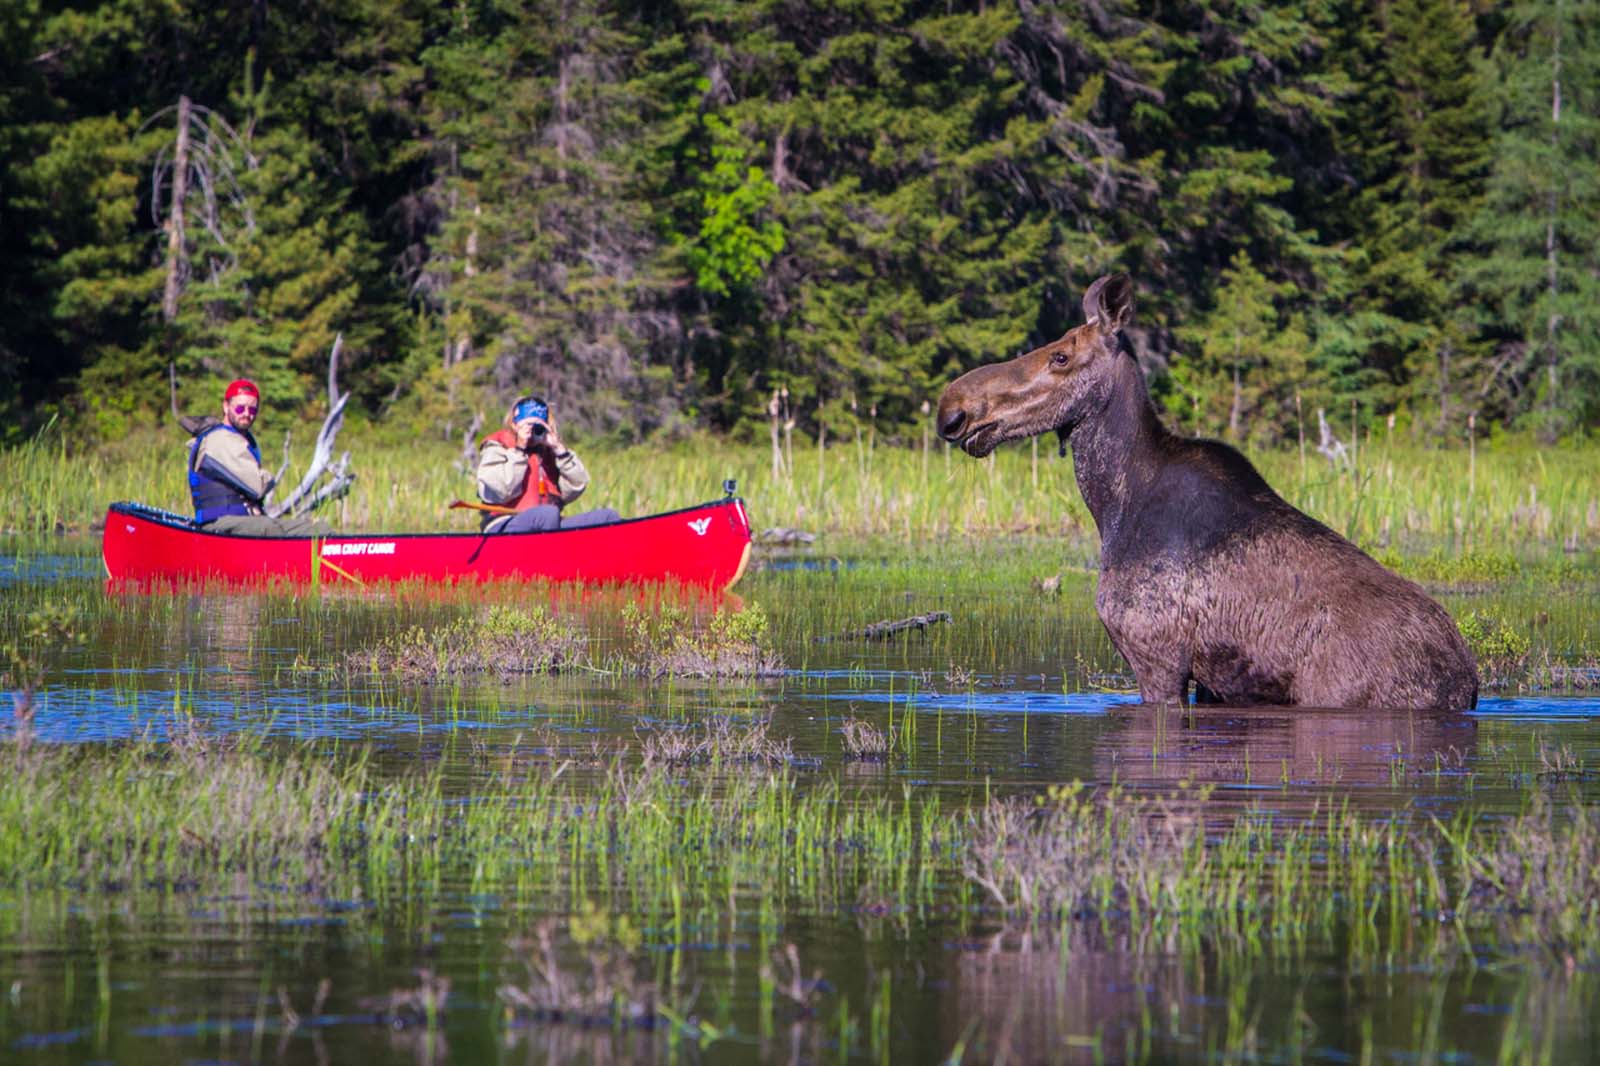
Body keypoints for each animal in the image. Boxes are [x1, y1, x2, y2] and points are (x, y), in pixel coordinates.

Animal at [934, 273, 1472, 710]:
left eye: (1061, 356)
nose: (954, 408)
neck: (1112, 504)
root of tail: (1468, 685)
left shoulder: (1154, 654)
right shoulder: (1215, 680)